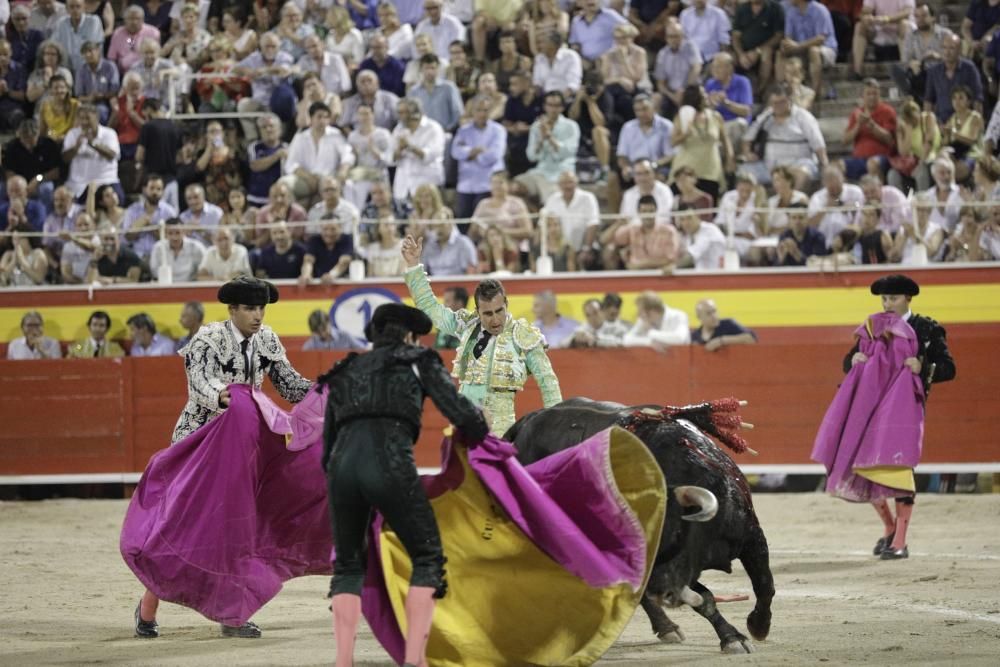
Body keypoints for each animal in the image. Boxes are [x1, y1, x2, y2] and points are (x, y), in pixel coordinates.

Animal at [504, 400, 776, 656]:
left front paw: (757, 627)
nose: (662, 592)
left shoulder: (752, 537)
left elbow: (764, 585)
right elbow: (705, 600)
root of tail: (529, 420)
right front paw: (733, 637)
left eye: (675, 535)